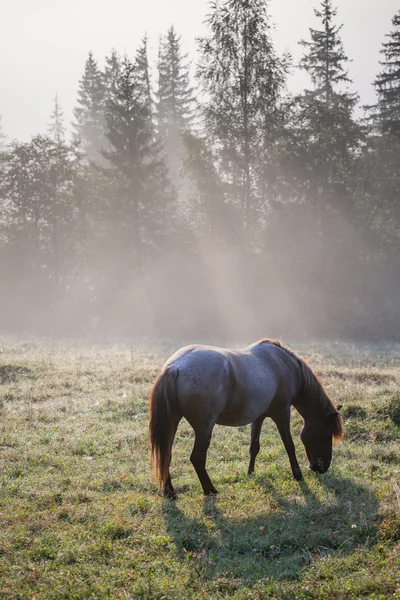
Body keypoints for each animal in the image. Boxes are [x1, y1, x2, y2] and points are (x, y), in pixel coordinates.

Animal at [148, 340, 342, 500]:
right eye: (327, 434)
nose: (322, 468)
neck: (283, 365)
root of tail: (175, 367)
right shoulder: (282, 413)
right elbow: (289, 445)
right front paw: (297, 475)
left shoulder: (258, 417)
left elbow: (254, 447)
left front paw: (250, 473)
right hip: (204, 429)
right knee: (197, 458)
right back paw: (210, 490)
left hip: (173, 423)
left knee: (166, 455)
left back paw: (170, 492)